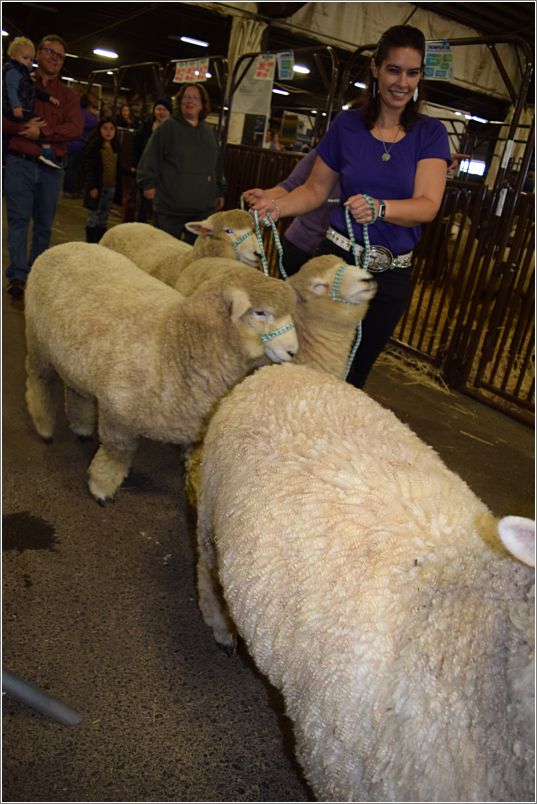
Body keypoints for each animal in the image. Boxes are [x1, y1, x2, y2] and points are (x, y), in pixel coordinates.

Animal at [24, 242, 298, 502]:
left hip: (76, 361)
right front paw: (101, 487)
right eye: (260, 312)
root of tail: (63, 246)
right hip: (38, 344)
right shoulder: (117, 412)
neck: (175, 341)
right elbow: (117, 452)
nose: (294, 351)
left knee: (76, 390)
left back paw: (80, 426)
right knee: (39, 382)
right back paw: (44, 425)